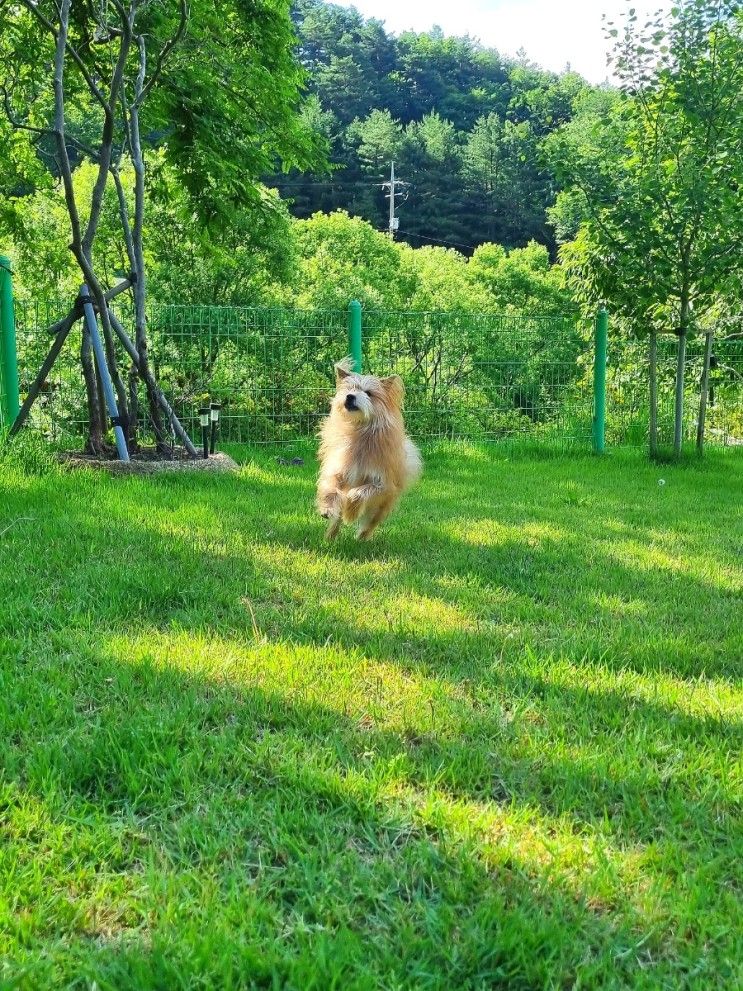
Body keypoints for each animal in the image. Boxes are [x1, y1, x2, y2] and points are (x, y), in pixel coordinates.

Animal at [316, 358, 422, 544]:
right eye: (349, 389)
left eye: (369, 393)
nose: (350, 396)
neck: (360, 432)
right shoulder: (338, 472)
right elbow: (331, 488)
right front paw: (327, 509)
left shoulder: (382, 485)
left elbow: (358, 493)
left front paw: (351, 512)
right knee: (337, 518)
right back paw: (330, 535)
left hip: (381, 508)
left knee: (370, 523)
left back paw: (361, 536)